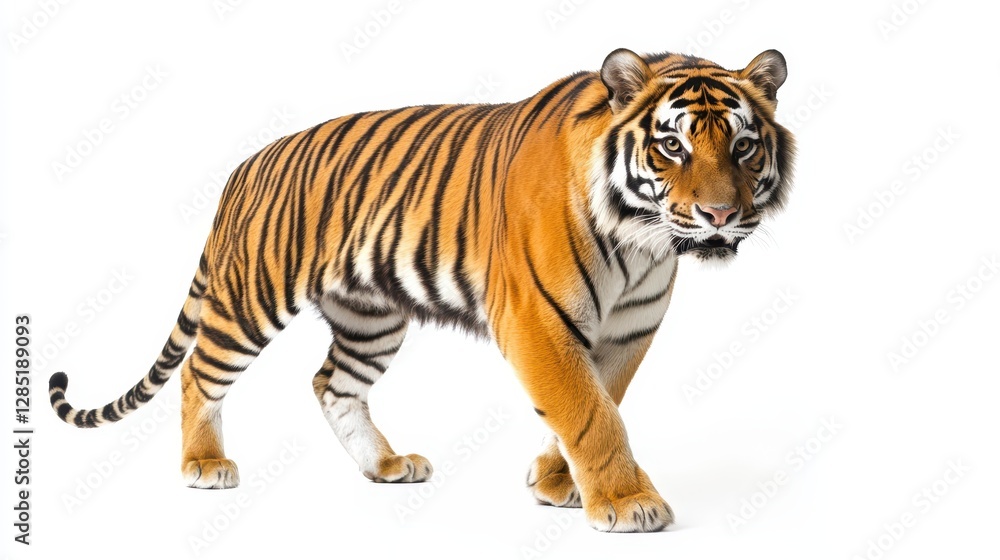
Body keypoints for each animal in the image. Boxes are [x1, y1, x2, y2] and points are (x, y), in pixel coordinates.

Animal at [48, 47, 795, 533]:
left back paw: (385, 465)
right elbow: (590, 413)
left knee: (331, 383)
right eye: (672, 147)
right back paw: (204, 464)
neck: (641, 241)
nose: (720, 216)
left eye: (743, 146)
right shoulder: (539, 321)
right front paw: (625, 503)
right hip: (251, 298)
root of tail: (248, 163)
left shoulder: (626, 331)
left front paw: (557, 484)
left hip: (371, 318)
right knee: (200, 372)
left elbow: (594, 405)